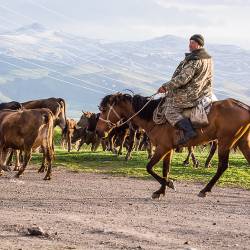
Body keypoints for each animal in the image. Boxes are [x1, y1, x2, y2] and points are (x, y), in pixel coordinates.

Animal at [96, 93, 250, 198]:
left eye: (104, 109)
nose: (98, 131)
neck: (153, 118)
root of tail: (245, 108)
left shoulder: (162, 147)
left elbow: (149, 167)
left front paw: (169, 184)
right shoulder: (168, 149)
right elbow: (166, 169)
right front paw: (161, 190)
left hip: (226, 141)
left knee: (222, 166)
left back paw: (205, 189)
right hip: (242, 142)